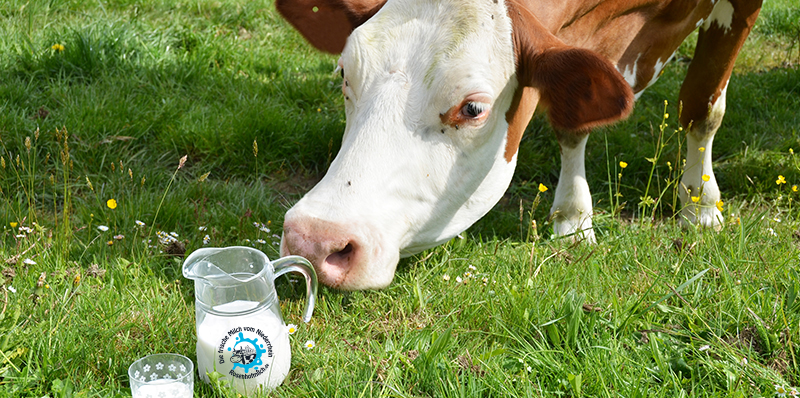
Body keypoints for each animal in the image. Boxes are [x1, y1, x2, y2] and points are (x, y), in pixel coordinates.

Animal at [276, 0, 764, 290]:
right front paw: (573, 217)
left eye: (472, 108)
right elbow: (572, 123)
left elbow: (703, 107)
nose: (314, 240)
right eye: (345, 75)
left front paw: (700, 205)